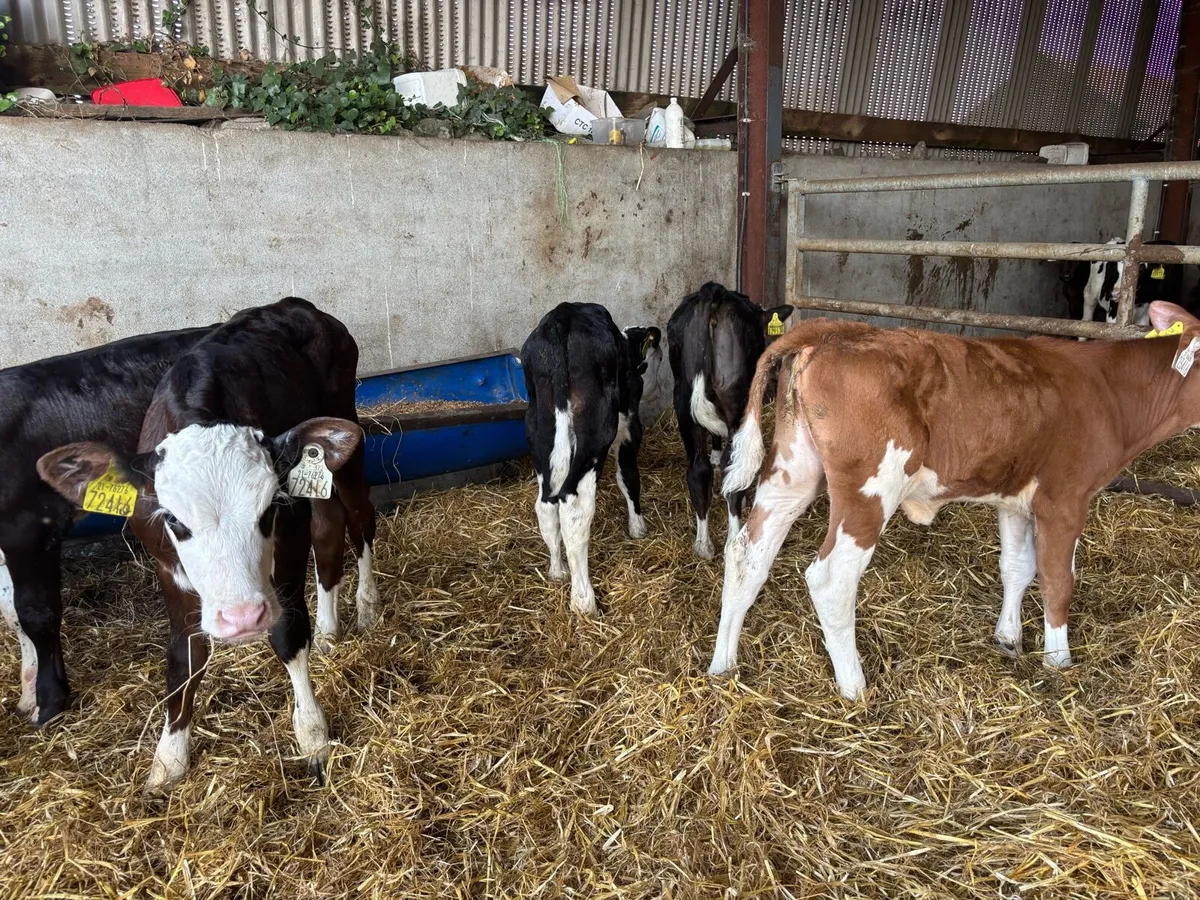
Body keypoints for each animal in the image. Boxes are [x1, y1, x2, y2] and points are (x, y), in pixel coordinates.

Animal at [37, 298, 378, 792]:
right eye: (174, 519)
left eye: (268, 510)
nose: (241, 618)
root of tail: (292, 304)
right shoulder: (168, 568)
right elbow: (184, 656)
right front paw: (168, 759)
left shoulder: (289, 537)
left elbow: (289, 632)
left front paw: (312, 735)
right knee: (329, 528)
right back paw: (331, 631)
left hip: (345, 434)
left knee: (359, 516)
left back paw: (367, 606)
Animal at [521, 303, 661, 616]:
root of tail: (562, 316)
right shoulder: (630, 426)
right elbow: (628, 477)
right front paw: (638, 528)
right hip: (596, 432)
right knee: (574, 506)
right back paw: (584, 601)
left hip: (539, 429)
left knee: (546, 504)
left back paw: (558, 571)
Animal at [667, 282, 793, 559]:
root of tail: (714, 293)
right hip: (737, 401)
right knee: (730, 464)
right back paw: (733, 539)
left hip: (683, 402)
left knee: (698, 469)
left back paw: (703, 544)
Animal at [708, 301, 1200, 700]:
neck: (1110, 390)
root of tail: (833, 329)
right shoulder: (1065, 500)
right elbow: (1059, 580)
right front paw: (1059, 662)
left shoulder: (1013, 499)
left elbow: (1017, 567)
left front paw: (1008, 638)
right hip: (870, 489)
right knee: (832, 579)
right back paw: (855, 687)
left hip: (792, 471)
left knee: (747, 555)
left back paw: (723, 664)